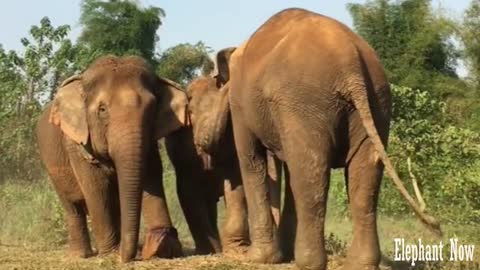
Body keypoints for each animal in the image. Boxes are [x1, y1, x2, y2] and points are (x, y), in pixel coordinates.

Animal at [35, 55, 188, 262]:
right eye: (102, 109)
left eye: (152, 109)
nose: (131, 255)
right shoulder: (75, 144)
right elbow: (97, 187)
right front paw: (111, 254)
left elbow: (151, 174)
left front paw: (163, 247)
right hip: (51, 166)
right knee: (73, 207)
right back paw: (80, 255)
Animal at [189, 7, 440, 270]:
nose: (199, 142)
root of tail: (350, 65)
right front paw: (281, 254)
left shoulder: (241, 105)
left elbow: (252, 160)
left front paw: (259, 259)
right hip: (377, 103)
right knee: (364, 176)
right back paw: (359, 263)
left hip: (306, 103)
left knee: (311, 174)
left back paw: (308, 263)